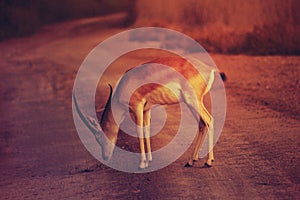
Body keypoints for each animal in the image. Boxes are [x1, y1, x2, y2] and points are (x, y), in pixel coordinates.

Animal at [74, 56, 226, 169]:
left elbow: (139, 131)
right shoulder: (147, 109)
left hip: (192, 101)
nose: (105, 157)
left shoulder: (137, 107)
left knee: (209, 120)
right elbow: (146, 130)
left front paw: (142, 163)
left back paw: (208, 161)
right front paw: (149, 160)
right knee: (202, 124)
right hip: (194, 103)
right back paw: (191, 161)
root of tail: (209, 68)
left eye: (99, 137)